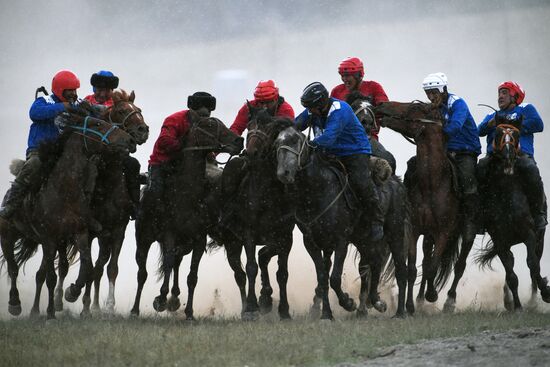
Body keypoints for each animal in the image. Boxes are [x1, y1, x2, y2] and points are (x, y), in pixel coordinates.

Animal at [0, 113, 135, 320]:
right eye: (98, 123)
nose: (129, 139)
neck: (65, 190)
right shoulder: (50, 238)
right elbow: (52, 277)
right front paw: (51, 314)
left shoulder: (85, 232)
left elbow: (89, 267)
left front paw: (73, 293)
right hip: (8, 235)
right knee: (14, 267)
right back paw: (16, 304)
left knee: (41, 272)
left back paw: (35, 310)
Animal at [130, 113, 243, 320]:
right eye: (209, 125)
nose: (238, 141)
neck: (185, 194)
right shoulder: (169, 235)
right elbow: (166, 264)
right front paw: (160, 299)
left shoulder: (197, 240)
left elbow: (192, 276)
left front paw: (189, 312)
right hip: (143, 239)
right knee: (142, 273)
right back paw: (135, 309)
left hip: (184, 245)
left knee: (176, 264)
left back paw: (175, 298)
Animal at [378, 102, 476, 314]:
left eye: (414, 107)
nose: (381, 105)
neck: (432, 184)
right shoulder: (414, 230)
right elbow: (413, 269)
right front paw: (409, 306)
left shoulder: (444, 232)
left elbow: (432, 268)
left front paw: (432, 295)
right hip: (427, 235)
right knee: (426, 260)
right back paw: (420, 298)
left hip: (465, 233)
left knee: (459, 265)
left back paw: (448, 302)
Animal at [476, 119, 548, 310]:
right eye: (498, 133)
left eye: (516, 134)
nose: (508, 155)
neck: (507, 196)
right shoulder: (500, 241)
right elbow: (511, 275)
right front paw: (516, 306)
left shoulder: (529, 234)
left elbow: (533, 265)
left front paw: (545, 293)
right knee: (512, 264)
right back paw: (508, 300)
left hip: (540, 238)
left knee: (535, 263)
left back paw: (533, 300)